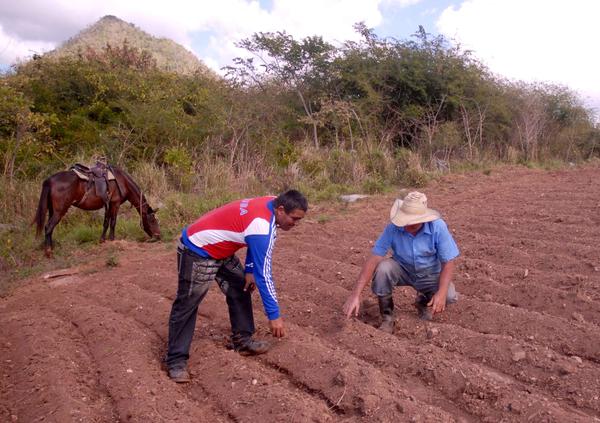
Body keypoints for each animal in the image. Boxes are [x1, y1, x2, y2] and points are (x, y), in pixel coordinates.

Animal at [34, 166, 162, 258]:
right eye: (153, 220)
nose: (158, 236)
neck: (122, 182)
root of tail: (49, 180)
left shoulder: (108, 205)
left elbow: (106, 222)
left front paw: (102, 240)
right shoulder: (115, 204)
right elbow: (113, 222)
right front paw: (112, 239)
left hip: (52, 210)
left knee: (50, 229)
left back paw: (51, 248)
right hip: (59, 211)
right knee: (48, 227)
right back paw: (49, 252)